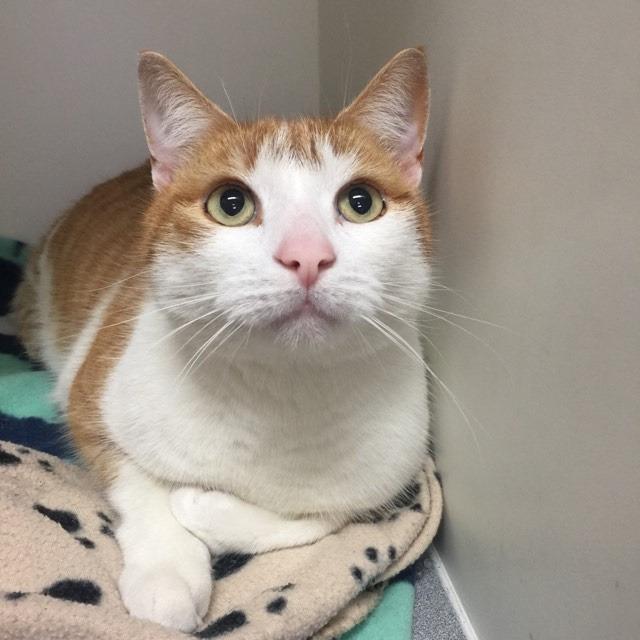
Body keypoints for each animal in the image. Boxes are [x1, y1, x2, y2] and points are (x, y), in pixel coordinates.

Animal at [13, 47, 431, 631]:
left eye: (360, 202)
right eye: (230, 204)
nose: (306, 256)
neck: (283, 398)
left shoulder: (393, 477)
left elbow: (324, 517)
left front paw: (205, 507)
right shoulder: (91, 396)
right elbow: (140, 483)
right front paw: (167, 573)